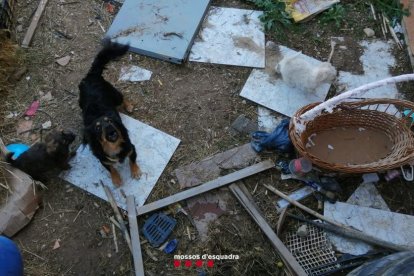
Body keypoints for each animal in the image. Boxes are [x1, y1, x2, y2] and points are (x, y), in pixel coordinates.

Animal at [78, 40, 142, 187]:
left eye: (110, 121)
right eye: (97, 127)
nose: (109, 128)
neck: (113, 147)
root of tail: (91, 75)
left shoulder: (131, 147)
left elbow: (132, 160)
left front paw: (135, 171)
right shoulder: (102, 159)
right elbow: (111, 168)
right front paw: (116, 179)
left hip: (114, 95)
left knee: (122, 97)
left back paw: (128, 106)